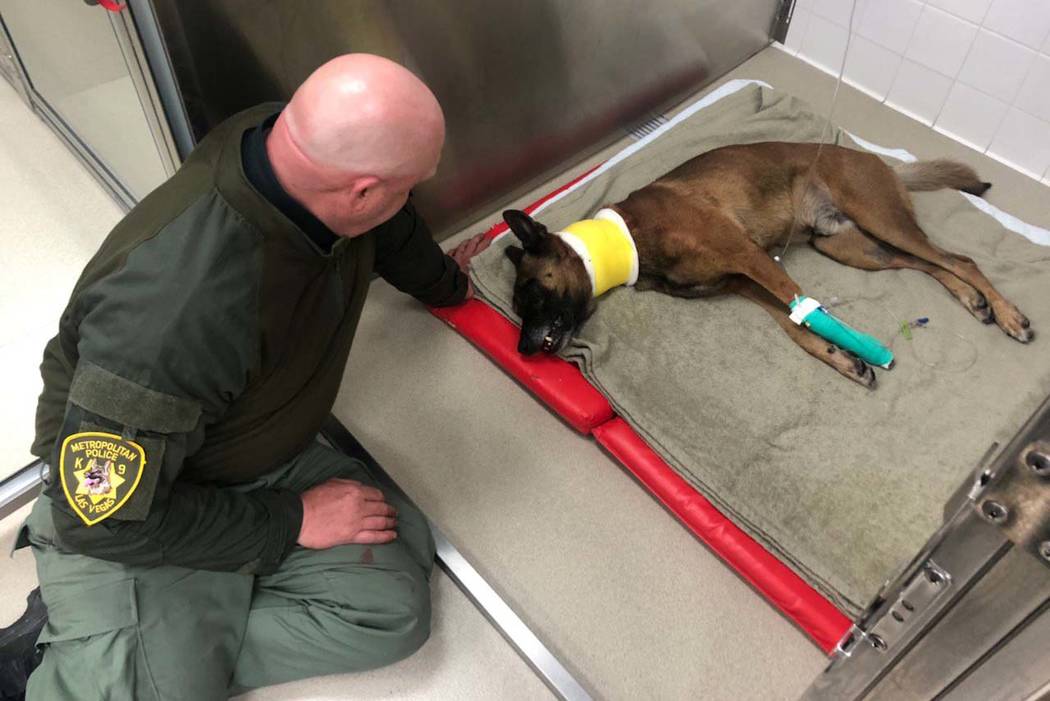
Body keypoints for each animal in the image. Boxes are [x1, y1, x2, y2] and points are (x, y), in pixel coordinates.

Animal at [501, 139, 1033, 386]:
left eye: (530, 293)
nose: (523, 351)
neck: (632, 238)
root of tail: (877, 159)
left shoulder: (750, 257)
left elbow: (808, 312)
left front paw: (857, 348)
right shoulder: (744, 282)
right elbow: (797, 327)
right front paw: (842, 358)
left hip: (877, 217)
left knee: (960, 258)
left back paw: (1008, 315)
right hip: (853, 248)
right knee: (928, 263)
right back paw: (973, 302)